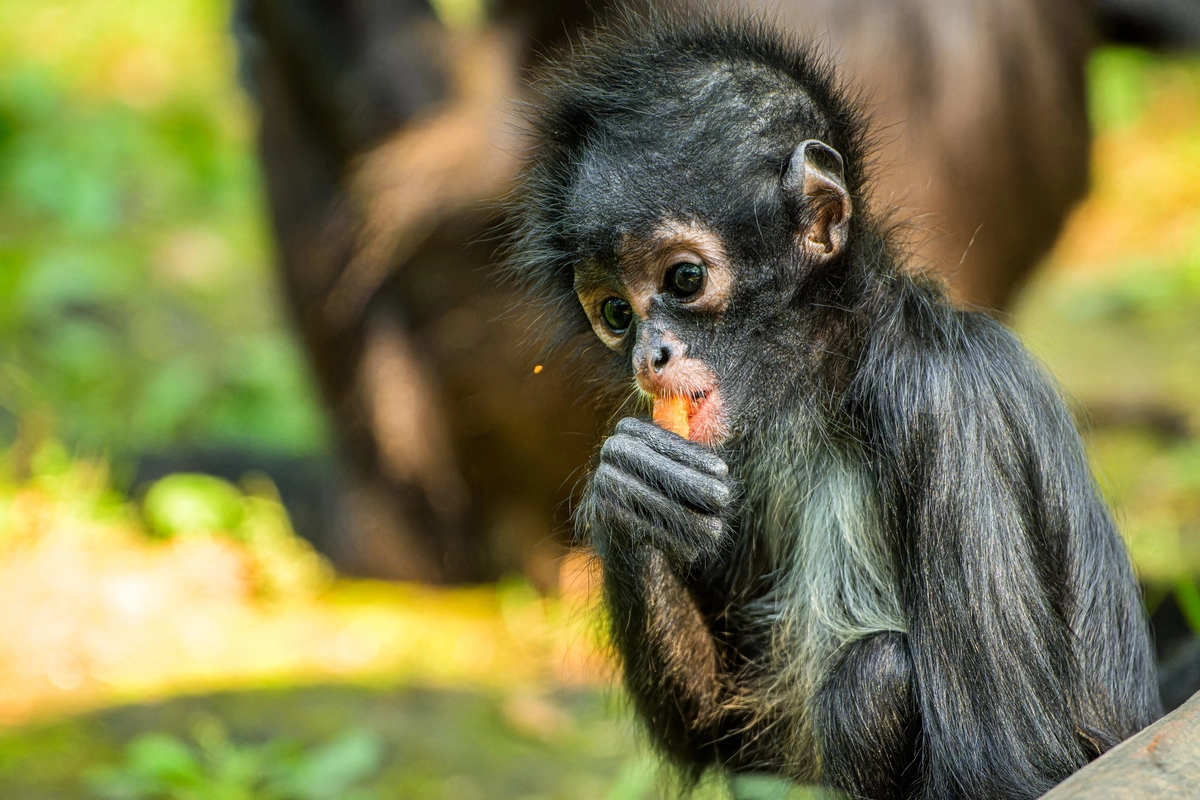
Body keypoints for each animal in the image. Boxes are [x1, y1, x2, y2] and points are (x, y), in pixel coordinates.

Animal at [501, 12, 1156, 800]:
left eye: (684, 279)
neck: (832, 388)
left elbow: (1012, 769)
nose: (647, 356)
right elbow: (718, 734)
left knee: (875, 676)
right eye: (616, 314)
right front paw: (629, 492)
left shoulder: (946, 399)